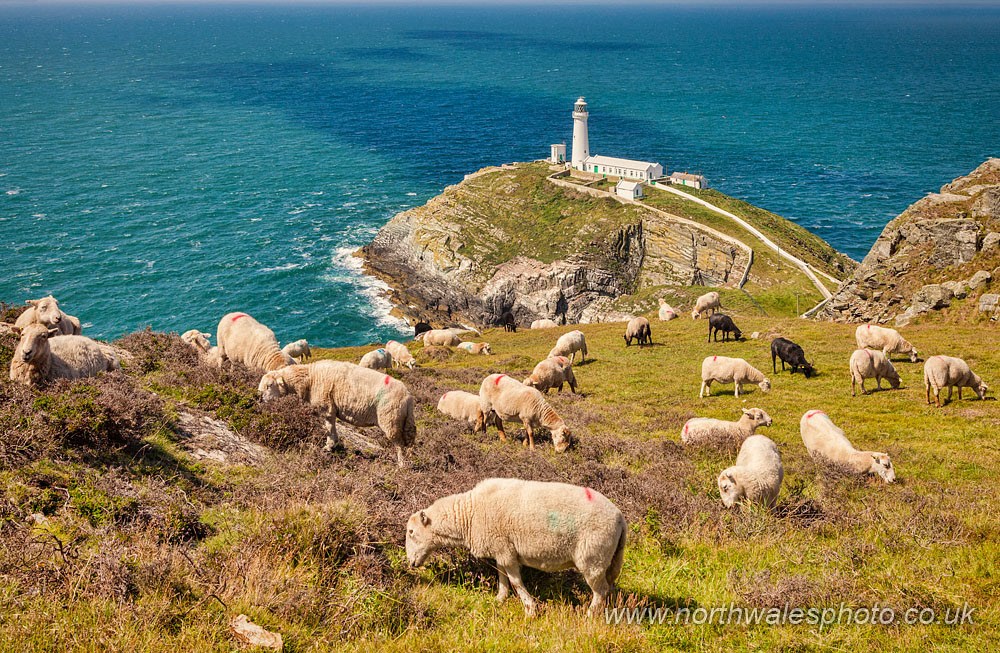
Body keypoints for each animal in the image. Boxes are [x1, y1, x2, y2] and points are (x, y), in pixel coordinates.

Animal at [258, 361, 416, 466]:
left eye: (269, 386)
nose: (259, 399)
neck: (309, 379)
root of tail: (408, 398)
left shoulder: (326, 407)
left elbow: (329, 428)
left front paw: (328, 446)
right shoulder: (330, 408)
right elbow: (332, 427)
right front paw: (333, 445)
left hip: (391, 419)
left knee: (399, 445)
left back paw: (402, 465)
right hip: (405, 421)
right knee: (409, 442)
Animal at [405, 478, 626, 617]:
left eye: (411, 532)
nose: (411, 563)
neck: (470, 514)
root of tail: (620, 519)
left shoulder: (506, 551)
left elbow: (515, 581)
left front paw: (530, 609)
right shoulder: (499, 549)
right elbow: (502, 576)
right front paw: (500, 599)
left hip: (592, 557)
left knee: (600, 590)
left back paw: (589, 615)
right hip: (610, 558)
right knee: (609, 587)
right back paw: (611, 612)